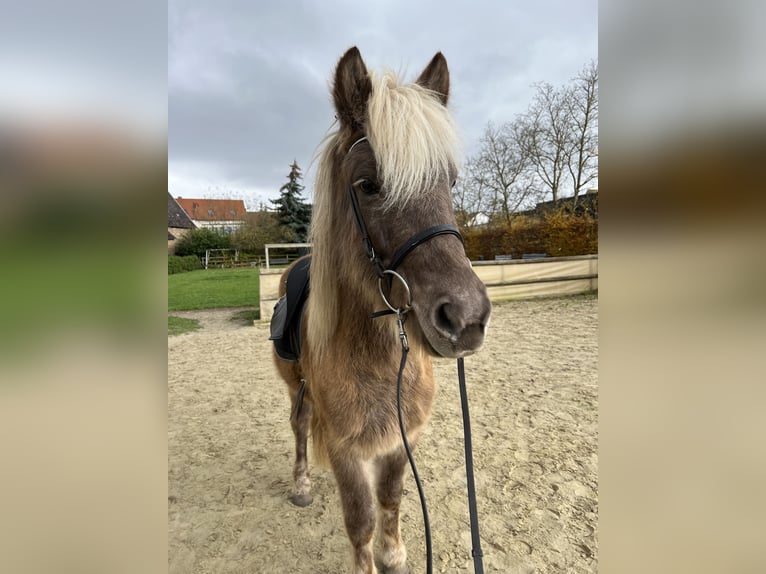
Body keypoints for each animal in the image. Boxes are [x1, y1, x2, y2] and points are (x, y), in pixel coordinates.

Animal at [272, 47, 492, 572]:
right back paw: (302, 484)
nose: (466, 317)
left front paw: (394, 555)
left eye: (450, 181)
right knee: (300, 428)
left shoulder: (401, 438)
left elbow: (390, 500)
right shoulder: (346, 449)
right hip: (297, 391)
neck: (379, 358)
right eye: (369, 184)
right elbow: (360, 522)